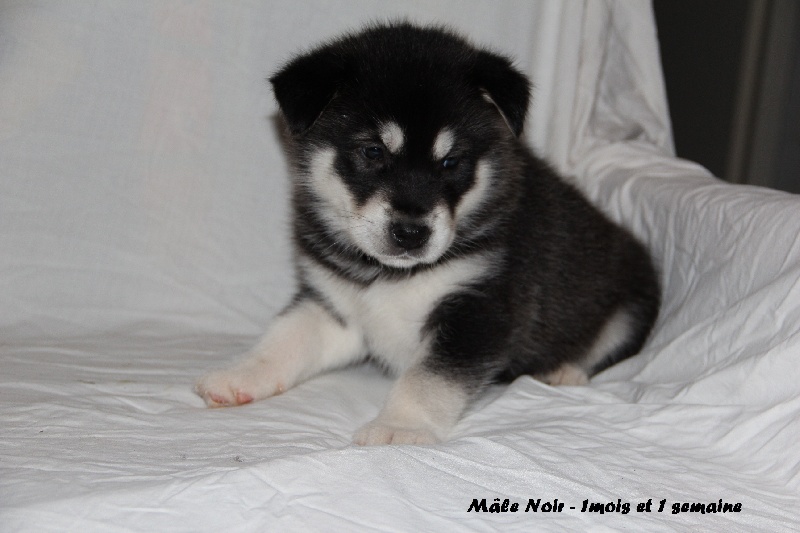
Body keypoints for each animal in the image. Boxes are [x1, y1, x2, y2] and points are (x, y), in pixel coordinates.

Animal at [195, 22, 661, 445]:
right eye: (372, 152)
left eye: (451, 162)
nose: (411, 232)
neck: (391, 276)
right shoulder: (334, 307)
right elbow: (285, 339)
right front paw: (241, 374)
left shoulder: (476, 311)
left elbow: (427, 379)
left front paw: (400, 426)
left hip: (632, 302)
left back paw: (562, 370)